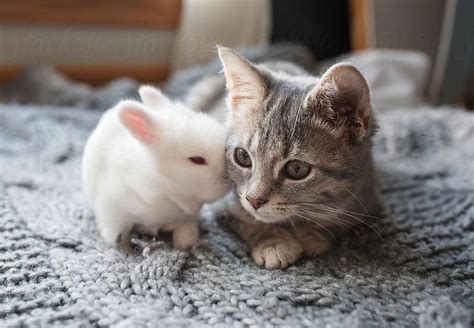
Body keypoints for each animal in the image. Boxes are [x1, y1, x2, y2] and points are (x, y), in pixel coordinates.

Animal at [205, 46, 382, 270]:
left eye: (296, 169)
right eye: (243, 156)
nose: (254, 200)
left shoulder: (366, 200)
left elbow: (338, 223)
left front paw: (312, 234)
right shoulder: (220, 201)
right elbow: (248, 220)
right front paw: (274, 243)